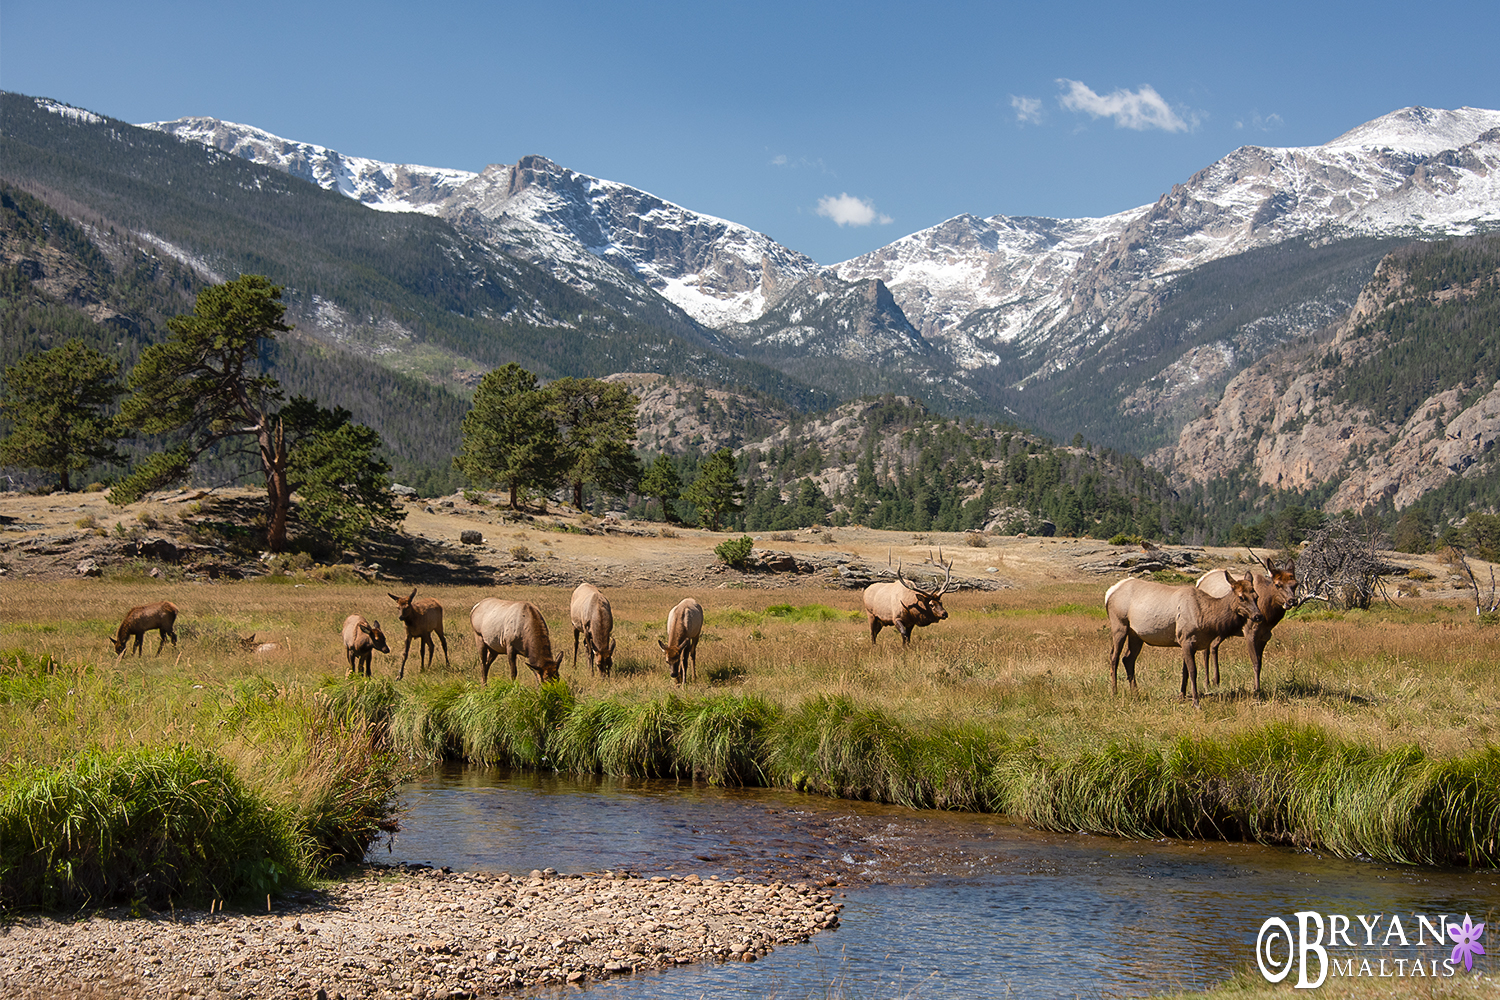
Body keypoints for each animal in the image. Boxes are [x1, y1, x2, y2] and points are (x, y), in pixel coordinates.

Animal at [1104, 569, 1266, 704]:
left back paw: (1136, 693)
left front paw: (1181, 696)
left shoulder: (1188, 643)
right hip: (1119, 625)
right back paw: (1114, 692)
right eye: (1241, 597)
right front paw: (1196, 701)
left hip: (1136, 635)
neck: (1206, 619)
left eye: (1256, 596)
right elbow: (1193, 671)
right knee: (1114, 657)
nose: (1258, 616)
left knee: (1128, 659)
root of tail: (1109, 593)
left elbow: (1185, 671)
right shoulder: (1186, 638)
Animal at [1194, 560, 1302, 692]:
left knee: (1214, 646)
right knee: (1205, 651)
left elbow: (1260, 663)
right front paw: (1256, 690)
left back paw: (1216, 681)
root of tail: (1199, 582)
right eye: (1277, 584)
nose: (1293, 601)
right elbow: (1255, 663)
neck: (1268, 615)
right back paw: (1206, 683)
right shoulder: (1249, 632)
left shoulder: (1265, 636)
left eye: (1295, 584)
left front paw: (1257, 687)